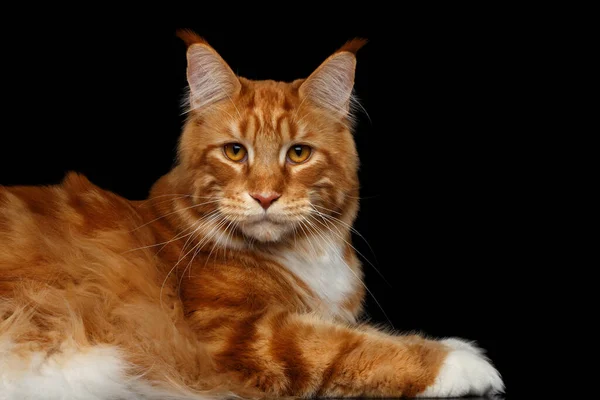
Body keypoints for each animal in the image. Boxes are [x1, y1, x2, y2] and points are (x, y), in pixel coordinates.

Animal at [0, 31, 504, 400]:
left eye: (298, 154)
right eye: (235, 152)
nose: (264, 196)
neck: (303, 253)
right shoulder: (234, 334)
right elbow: (345, 345)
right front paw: (463, 360)